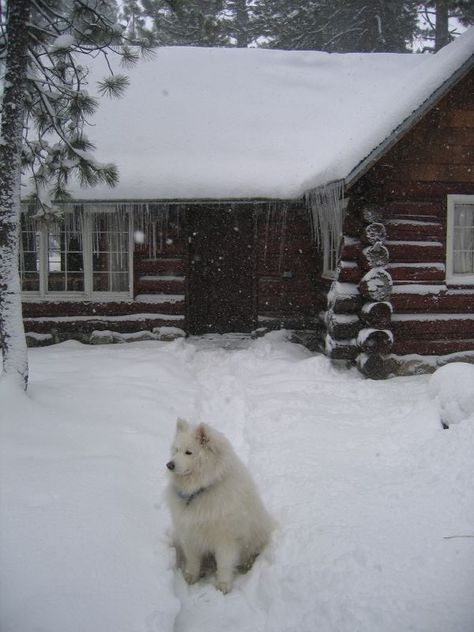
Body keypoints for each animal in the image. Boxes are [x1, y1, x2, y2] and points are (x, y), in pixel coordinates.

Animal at [166, 420, 274, 592]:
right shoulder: (189, 533)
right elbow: (193, 559)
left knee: (251, 552)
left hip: (257, 535)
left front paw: (223, 585)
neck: (201, 489)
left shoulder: (225, 538)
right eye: (176, 450)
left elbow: (224, 563)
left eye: (188, 452)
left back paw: (247, 563)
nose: (169, 465)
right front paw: (190, 577)